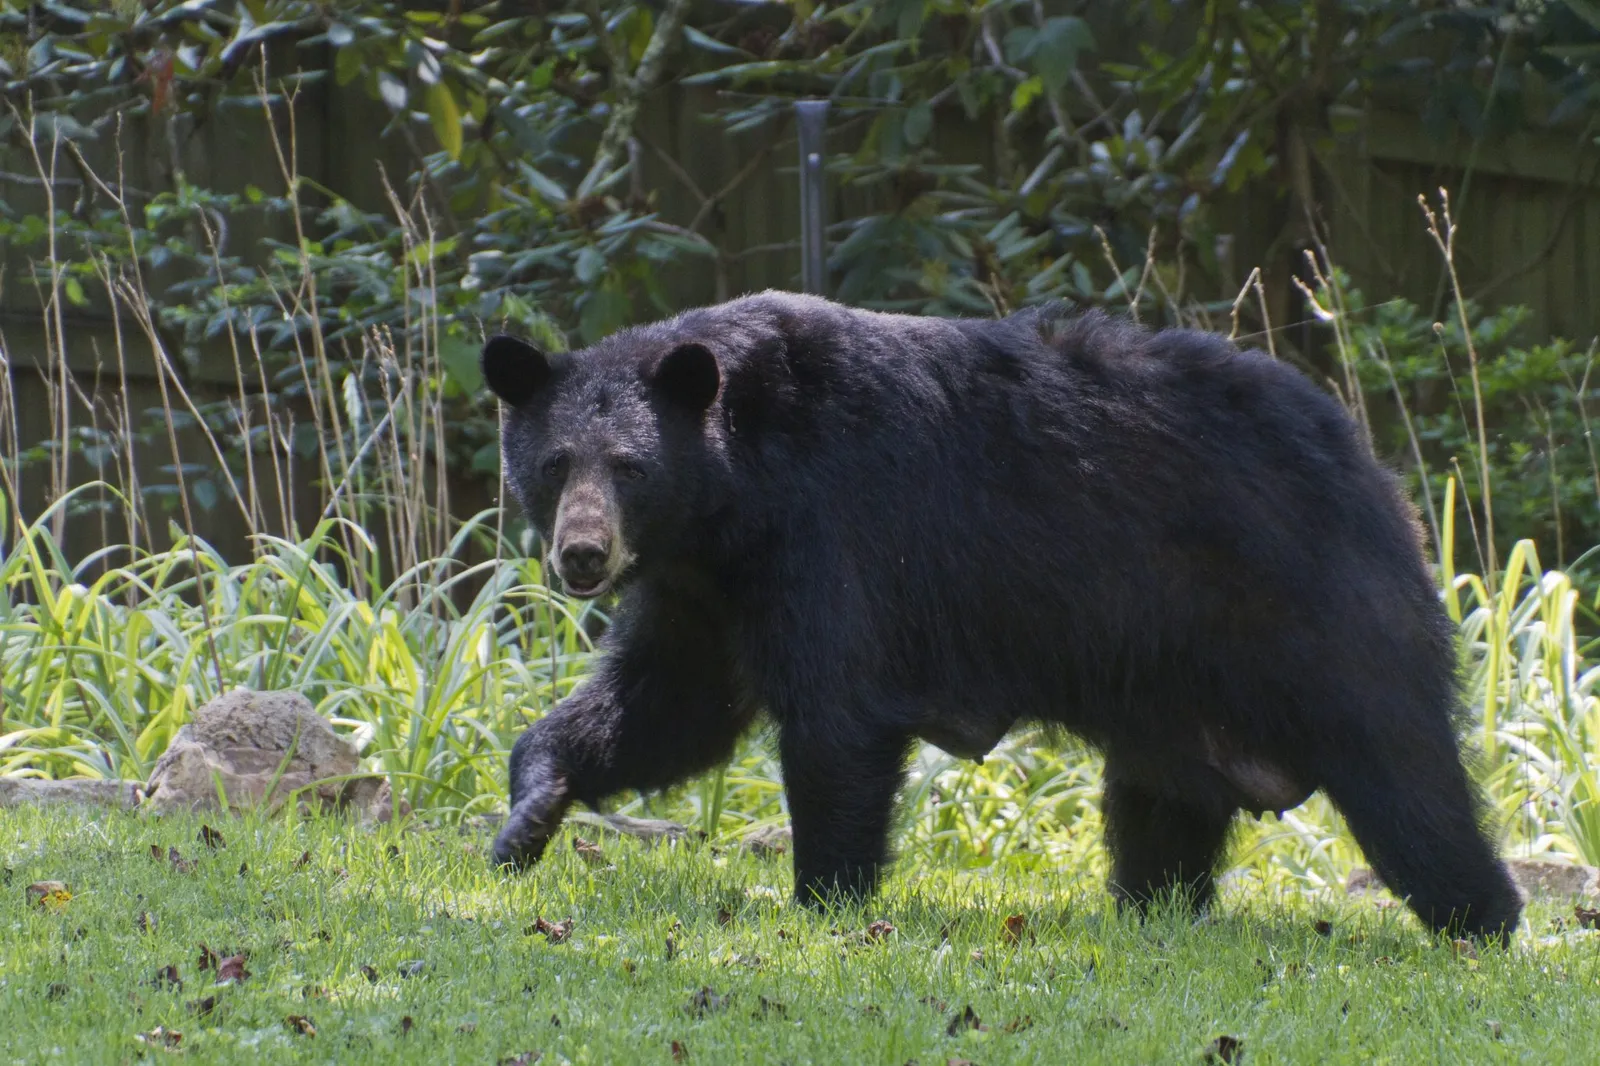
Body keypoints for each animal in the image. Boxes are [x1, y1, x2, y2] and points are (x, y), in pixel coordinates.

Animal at [480, 290, 1522, 942]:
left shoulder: (837, 533)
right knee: (1159, 808)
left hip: (1314, 609)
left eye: (630, 467)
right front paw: (526, 816)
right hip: (1174, 692)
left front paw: (824, 897)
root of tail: (1376, 470)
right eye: (555, 462)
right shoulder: (704, 588)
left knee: (1404, 775)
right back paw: (1153, 911)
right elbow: (666, 708)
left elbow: (836, 716)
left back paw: (1484, 921)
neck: (738, 495)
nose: (583, 555)